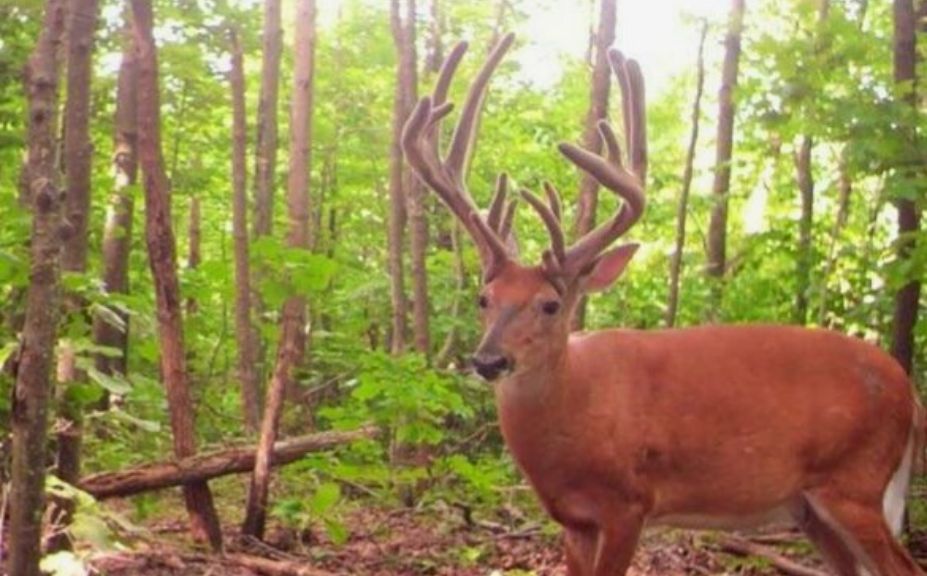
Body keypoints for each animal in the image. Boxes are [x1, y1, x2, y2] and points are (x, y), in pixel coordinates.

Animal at [402, 33, 924, 576]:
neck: (576, 407)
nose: (489, 360)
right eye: (484, 299)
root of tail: (909, 392)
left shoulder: (628, 503)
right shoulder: (573, 519)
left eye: (550, 304)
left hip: (855, 480)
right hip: (810, 506)